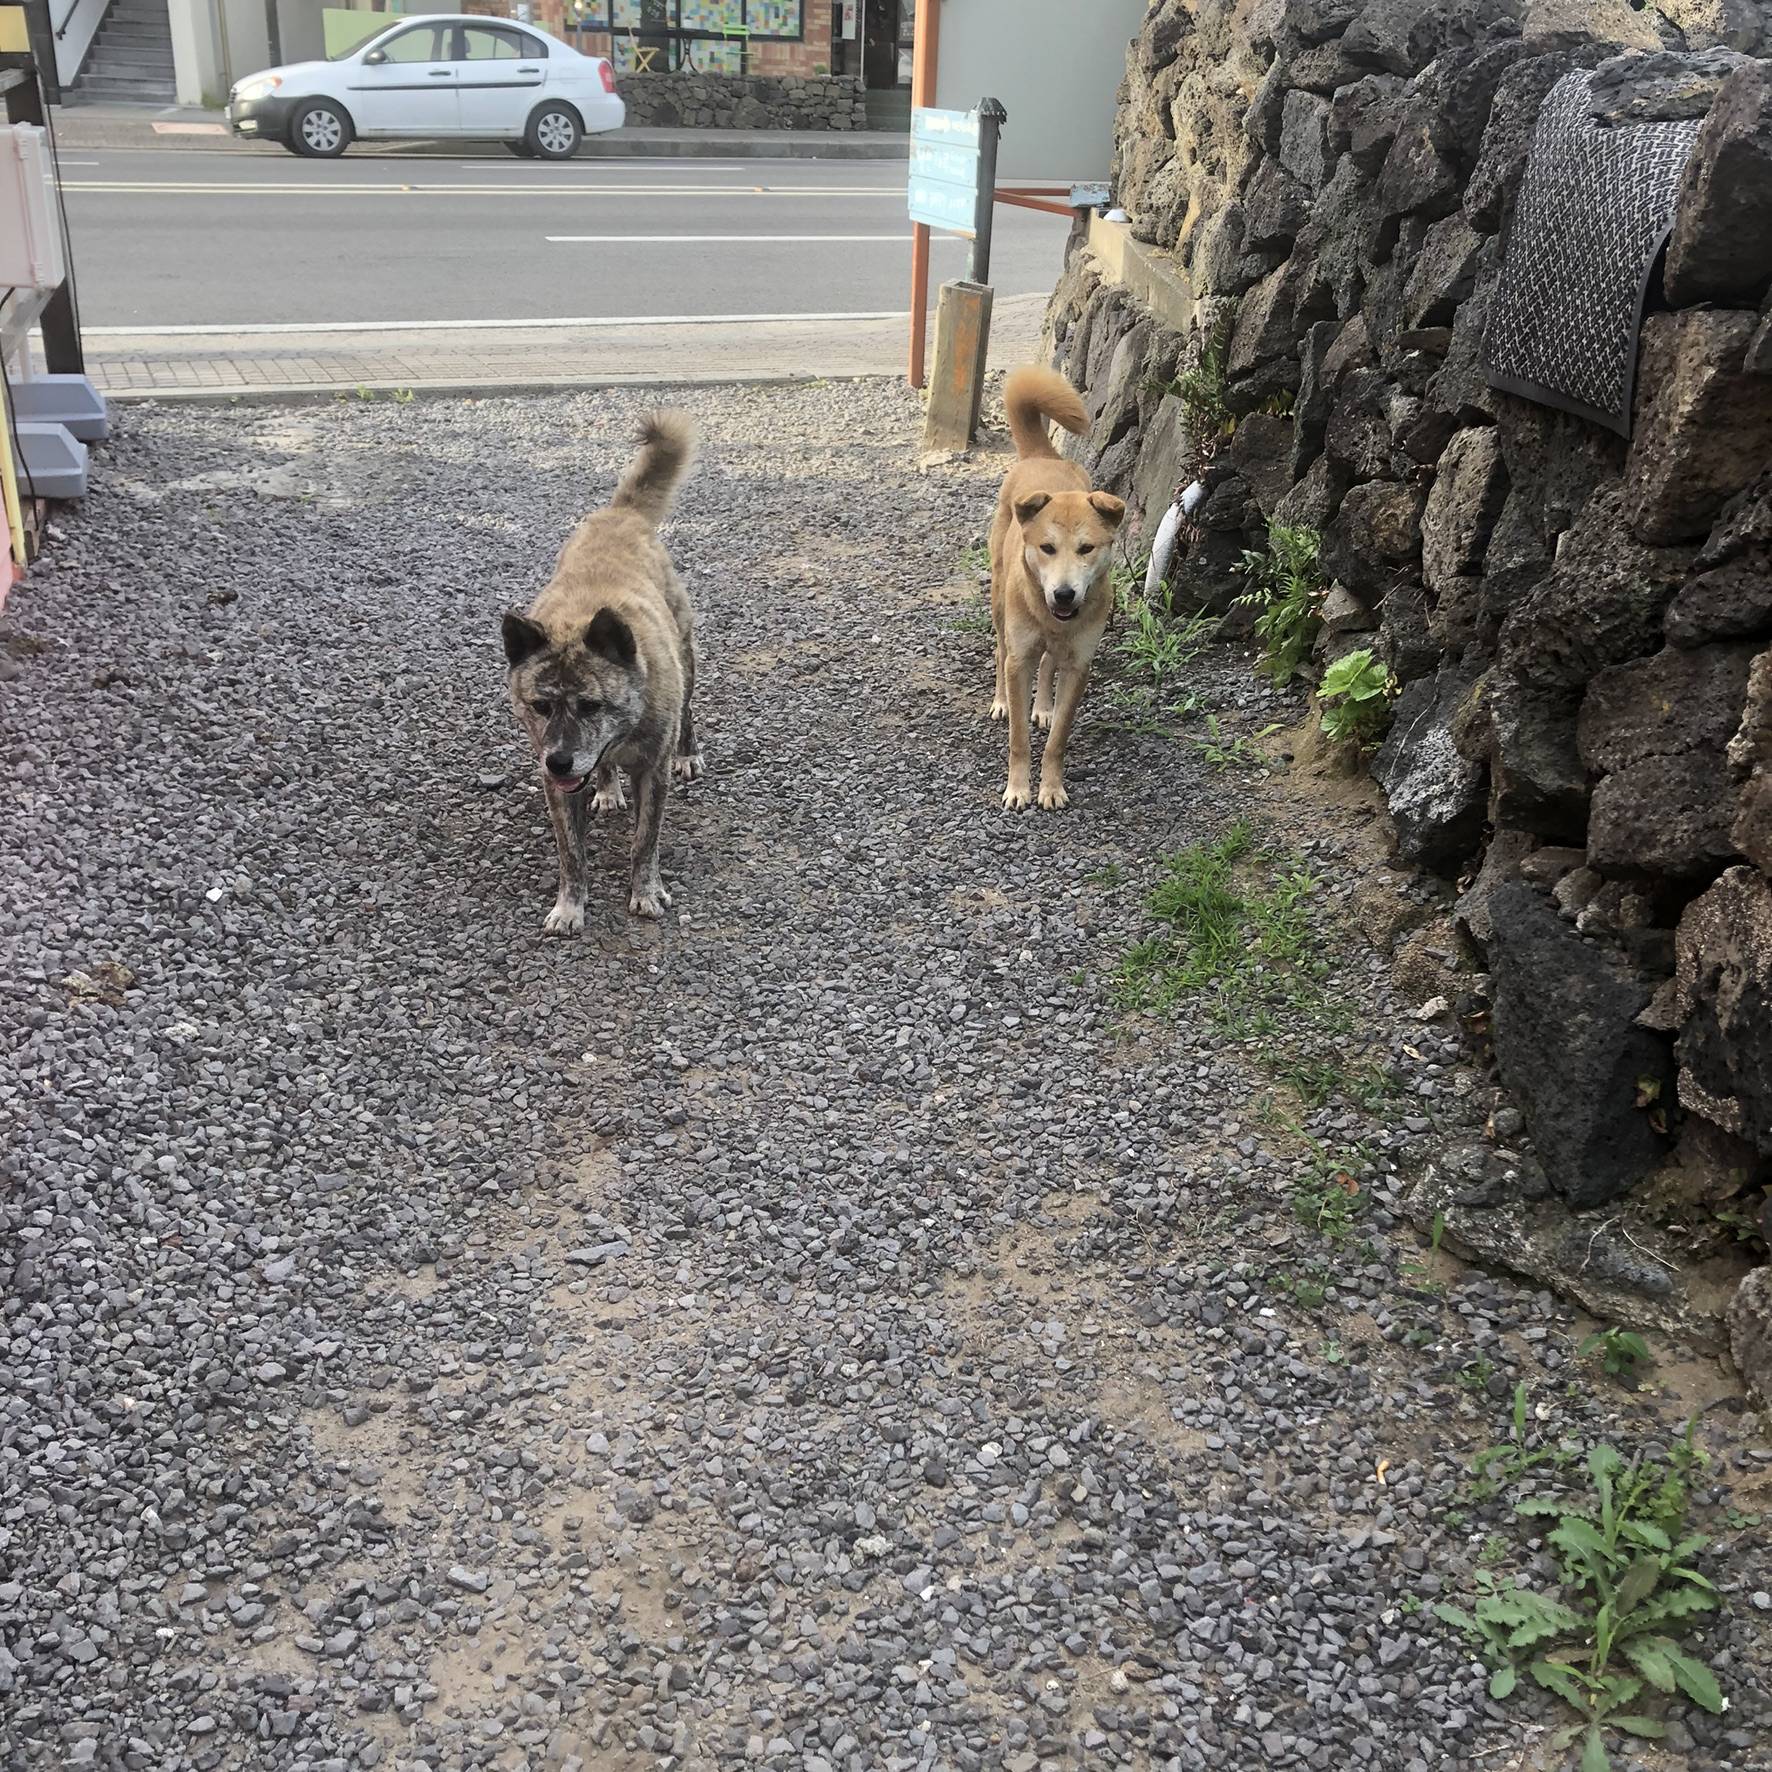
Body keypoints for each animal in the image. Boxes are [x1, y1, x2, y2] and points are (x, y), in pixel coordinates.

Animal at [992, 373, 1126, 815]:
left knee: (1048, 662)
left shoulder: (1079, 665)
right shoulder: (1019, 661)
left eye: (1086, 548)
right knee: (999, 650)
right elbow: (1019, 739)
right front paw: (1018, 789)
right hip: (999, 605)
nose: (1065, 594)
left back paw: (1043, 708)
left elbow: (1057, 742)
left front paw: (1050, 787)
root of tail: (1043, 456)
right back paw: (1001, 702)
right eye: (1047, 548)